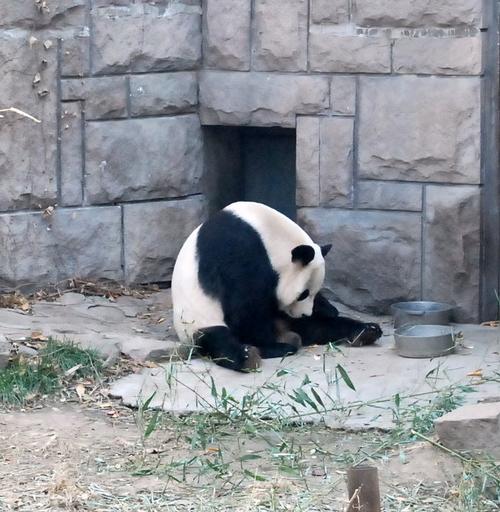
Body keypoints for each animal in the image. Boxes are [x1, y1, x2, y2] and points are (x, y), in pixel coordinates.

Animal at [172, 201, 382, 372]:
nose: (305, 314)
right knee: (218, 340)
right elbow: (244, 308)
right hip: (196, 321)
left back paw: (366, 331)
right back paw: (256, 354)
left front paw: (329, 308)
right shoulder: (237, 251)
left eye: (313, 293)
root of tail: (284, 329)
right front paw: (267, 345)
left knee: (319, 328)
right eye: (303, 294)